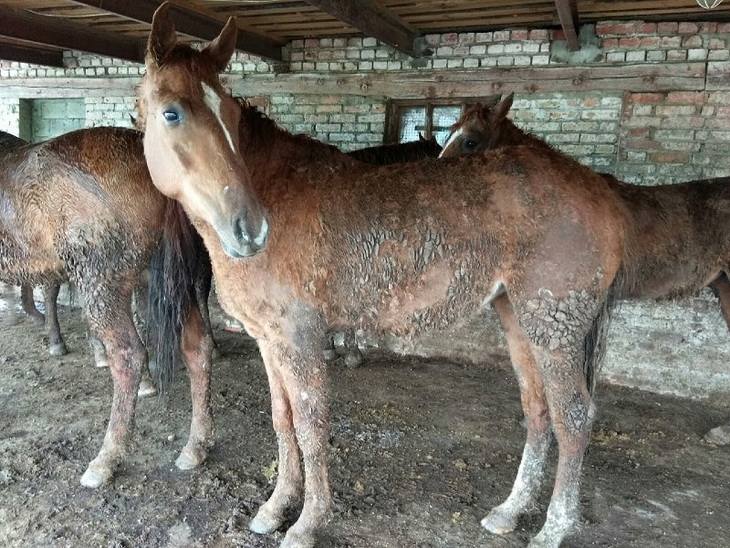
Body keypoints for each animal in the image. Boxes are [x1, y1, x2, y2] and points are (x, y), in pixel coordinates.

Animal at [0, 127, 218, 488]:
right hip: (167, 283)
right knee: (197, 348)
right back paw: (195, 446)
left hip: (103, 282)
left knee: (129, 356)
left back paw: (107, 458)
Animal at [136, 6, 636, 544]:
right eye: (172, 113)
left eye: (228, 114)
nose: (250, 229)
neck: (276, 190)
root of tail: (600, 192)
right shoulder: (269, 340)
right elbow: (282, 420)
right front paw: (274, 508)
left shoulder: (299, 338)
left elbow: (311, 426)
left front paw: (307, 522)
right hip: (521, 320)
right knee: (539, 411)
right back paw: (509, 512)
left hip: (554, 328)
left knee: (573, 418)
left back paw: (554, 528)